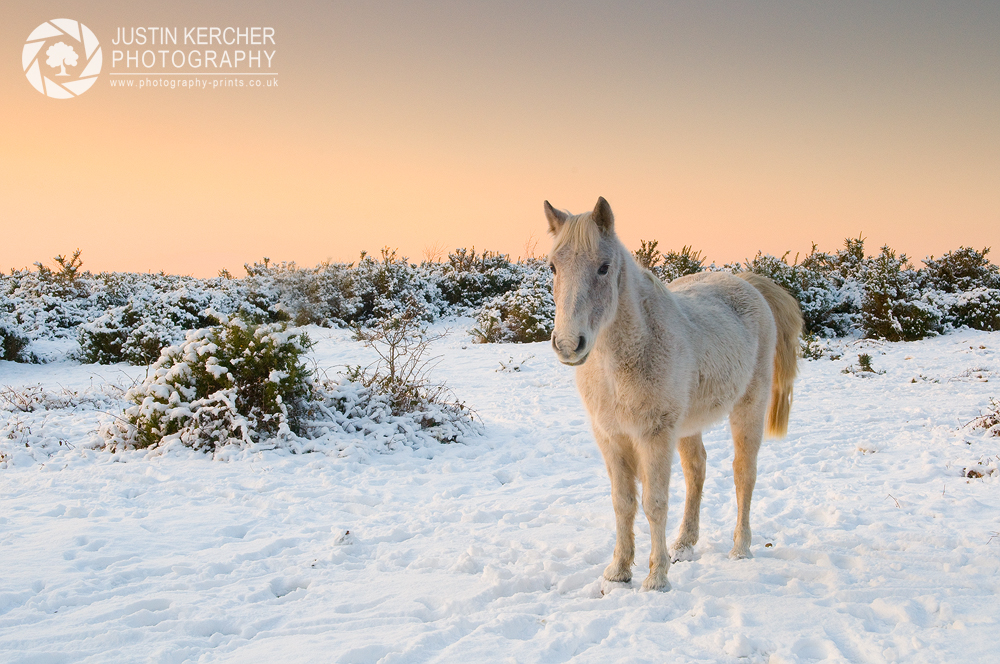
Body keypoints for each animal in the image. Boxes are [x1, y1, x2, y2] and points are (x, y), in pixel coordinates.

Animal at [544, 196, 800, 592]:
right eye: (553, 267)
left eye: (603, 267)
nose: (569, 345)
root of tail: (747, 284)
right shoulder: (611, 437)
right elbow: (623, 502)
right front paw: (619, 571)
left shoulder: (654, 435)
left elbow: (654, 503)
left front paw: (656, 578)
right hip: (689, 426)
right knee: (697, 470)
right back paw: (684, 544)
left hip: (748, 409)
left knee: (744, 472)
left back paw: (740, 549)